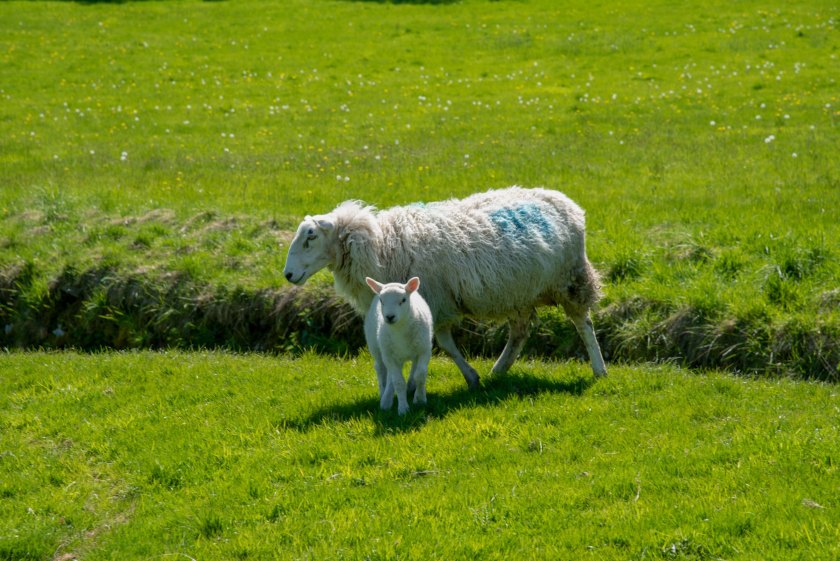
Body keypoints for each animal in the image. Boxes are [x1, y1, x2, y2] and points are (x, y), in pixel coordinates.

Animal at [283, 186, 607, 389]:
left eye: (310, 236)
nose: (288, 274)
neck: (382, 244)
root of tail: (565, 200)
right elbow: (446, 346)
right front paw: (472, 378)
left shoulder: (432, 301)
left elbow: (442, 345)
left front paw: (424, 384)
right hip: (518, 292)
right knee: (519, 332)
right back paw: (499, 369)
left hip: (571, 279)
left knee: (584, 324)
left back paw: (599, 369)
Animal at [364, 276, 433, 415]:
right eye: (381, 300)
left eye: (403, 300)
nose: (390, 317)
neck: (400, 329)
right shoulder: (389, 356)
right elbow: (399, 382)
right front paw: (403, 409)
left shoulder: (424, 350)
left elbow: (420, 375)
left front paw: (420, 399)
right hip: (377, 348)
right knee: (381, 370)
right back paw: (384, 398)